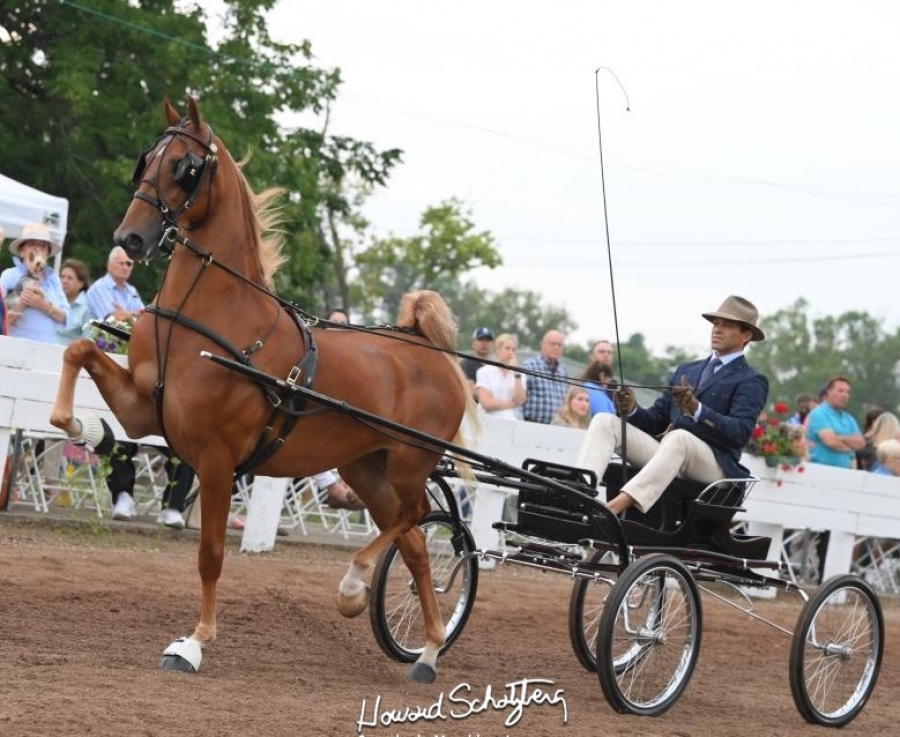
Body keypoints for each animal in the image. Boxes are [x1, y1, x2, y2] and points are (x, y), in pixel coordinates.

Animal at [51, 95, 478, 680]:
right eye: (147, 160)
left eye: (184, 166)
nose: (129, 239)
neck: (212, 318)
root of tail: (428, 351)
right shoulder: (144, 409)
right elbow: (78, 351)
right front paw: (83, 426)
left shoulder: (216, 458)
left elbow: (210, 554)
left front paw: (194, 642)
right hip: (365, 468)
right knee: (412, 543)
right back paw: (429, 651)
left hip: (411, 463)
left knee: (413, 521)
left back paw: (355, 587)